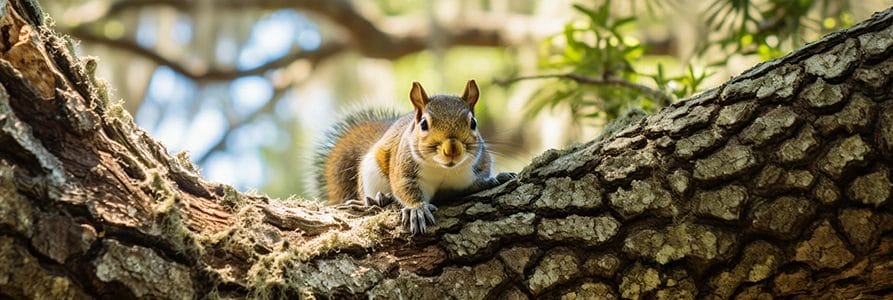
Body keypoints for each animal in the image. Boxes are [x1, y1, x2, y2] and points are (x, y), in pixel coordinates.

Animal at [312, 79, 512, 234]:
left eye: (473, 123)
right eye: (423, 124)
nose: (452, 150)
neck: (443, 169)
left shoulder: (475, 168)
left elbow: (474, 184)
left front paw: (493, 179)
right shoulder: (404, 170)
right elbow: (404, 188)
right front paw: (417, 210)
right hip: (370, 173)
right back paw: (379, 198)